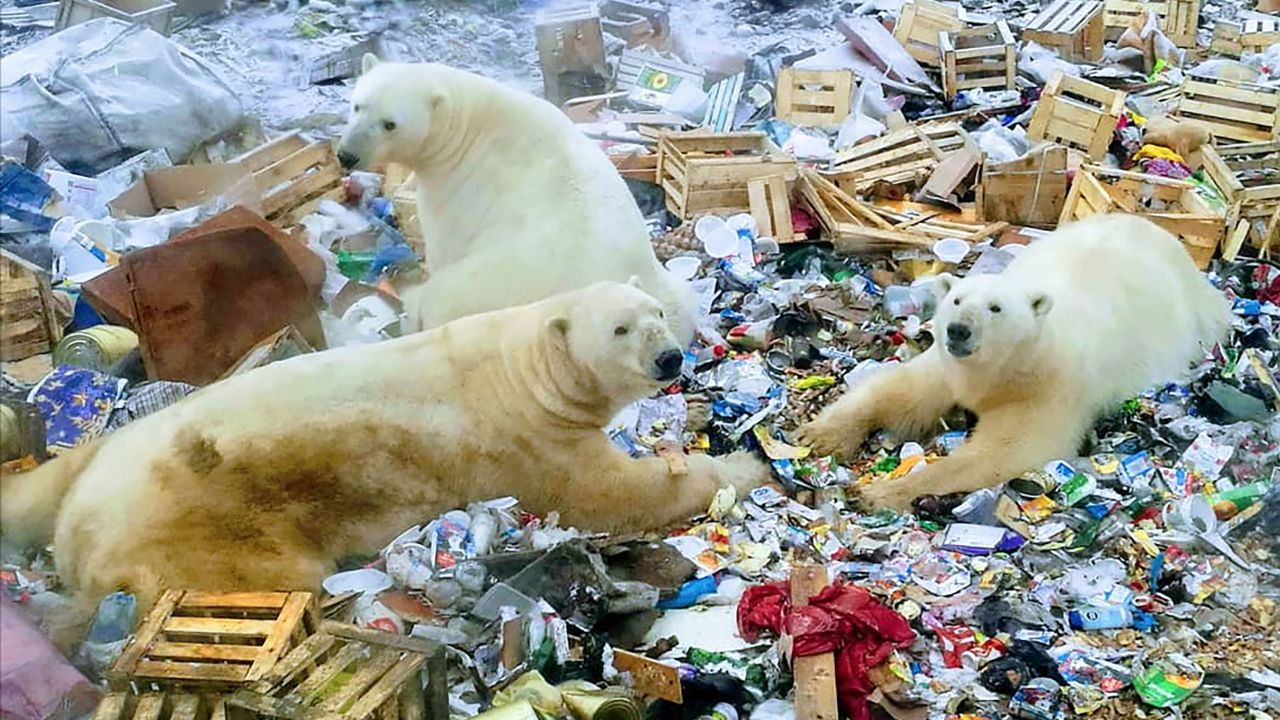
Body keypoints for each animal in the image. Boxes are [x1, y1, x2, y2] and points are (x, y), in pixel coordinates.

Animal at [0, 280, 762, 638]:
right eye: (621, 329)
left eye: (655, 311)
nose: (671, 359)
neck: (527, 371)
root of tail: (79, 530)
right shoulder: (529, 441)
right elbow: (611, 494)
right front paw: (747, 470)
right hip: (199, 528)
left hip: (101, 454)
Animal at [335, 56, 696, 340]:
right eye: (357, 105)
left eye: (390, 124)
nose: (347, 155)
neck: (466, 122)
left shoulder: (457, 186)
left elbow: (442, 246)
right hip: (664, 289)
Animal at [798, 212, 1228, 509]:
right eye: (957, 300)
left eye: (995, 308)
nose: (958, 330)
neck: (1006, 368)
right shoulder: (949, 368)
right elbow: (898, 392)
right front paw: (818, 436)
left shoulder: (1045, 389)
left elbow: (1003, 451)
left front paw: (879, 493)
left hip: (1193, 319)